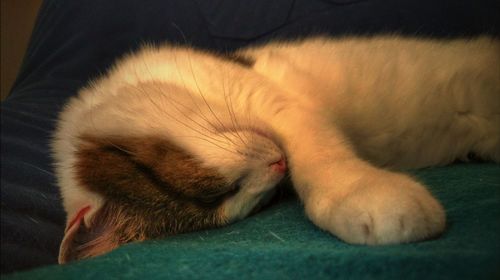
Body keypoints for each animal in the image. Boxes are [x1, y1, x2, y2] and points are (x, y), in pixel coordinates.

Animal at [51, 35, 500, 262]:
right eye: (235, 198)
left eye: (219, 191)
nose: (278, 165)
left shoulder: (273, 100)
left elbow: (317, 152)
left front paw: (361, 193)